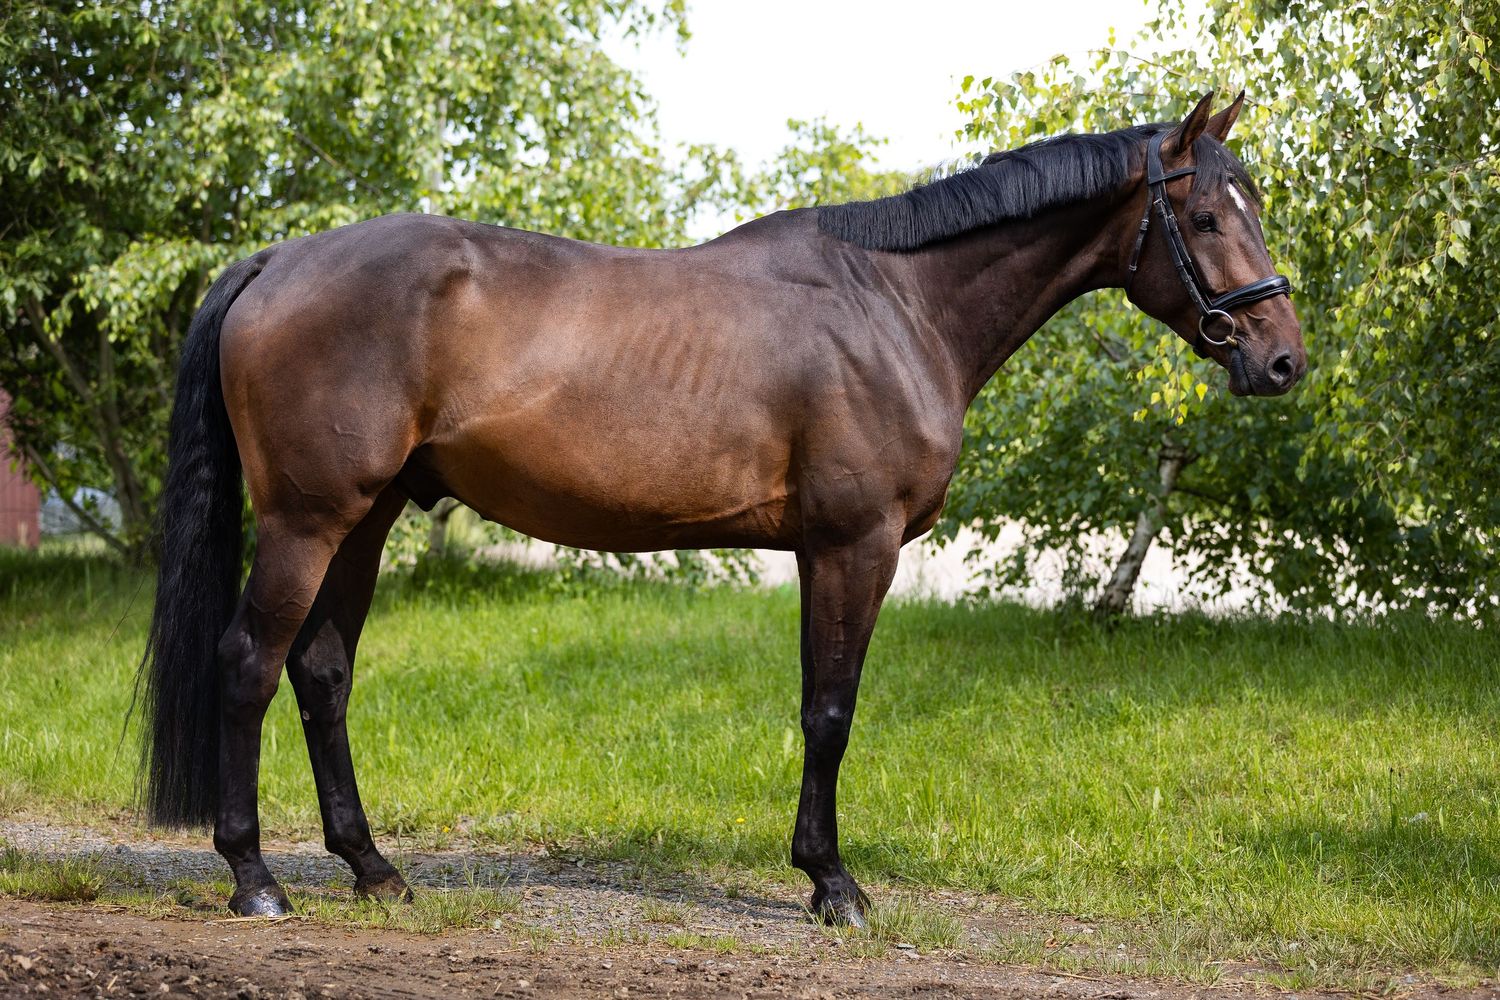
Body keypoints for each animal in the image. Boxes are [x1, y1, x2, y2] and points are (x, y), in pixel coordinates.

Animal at [137, 91, 1305, 925]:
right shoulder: (853, 545)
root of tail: (279, 259)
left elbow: (822, 705)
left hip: (368, 517)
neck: (896, 306)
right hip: (309, 519)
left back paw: (374, 869)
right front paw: (832, 884)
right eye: (1205, 215)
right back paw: (254, 880)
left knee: (322, 672)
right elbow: (830, 708)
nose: (1283, 359)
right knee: (249, 663)